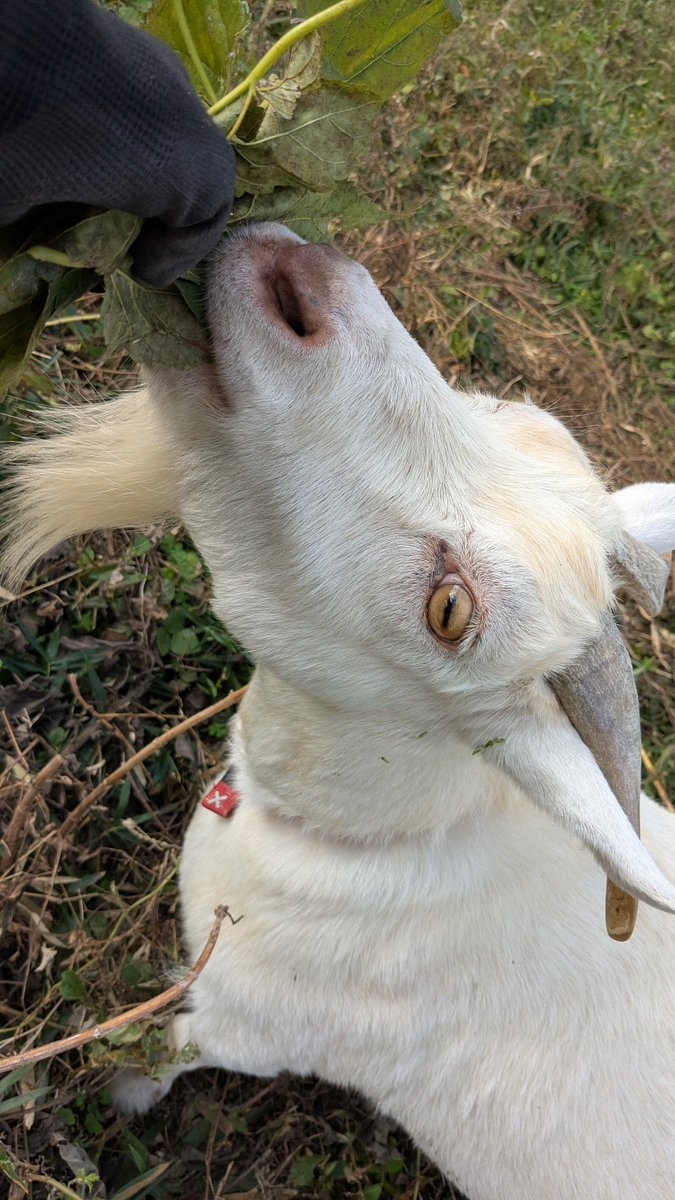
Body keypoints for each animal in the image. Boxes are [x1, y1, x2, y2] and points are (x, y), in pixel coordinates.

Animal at [3, 223, 675, 1200]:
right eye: (503, 408)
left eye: (449, 611)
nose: (300, 279)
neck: (363, 850)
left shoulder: (247, 1027)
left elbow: (163, 1054)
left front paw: (111, 1093)